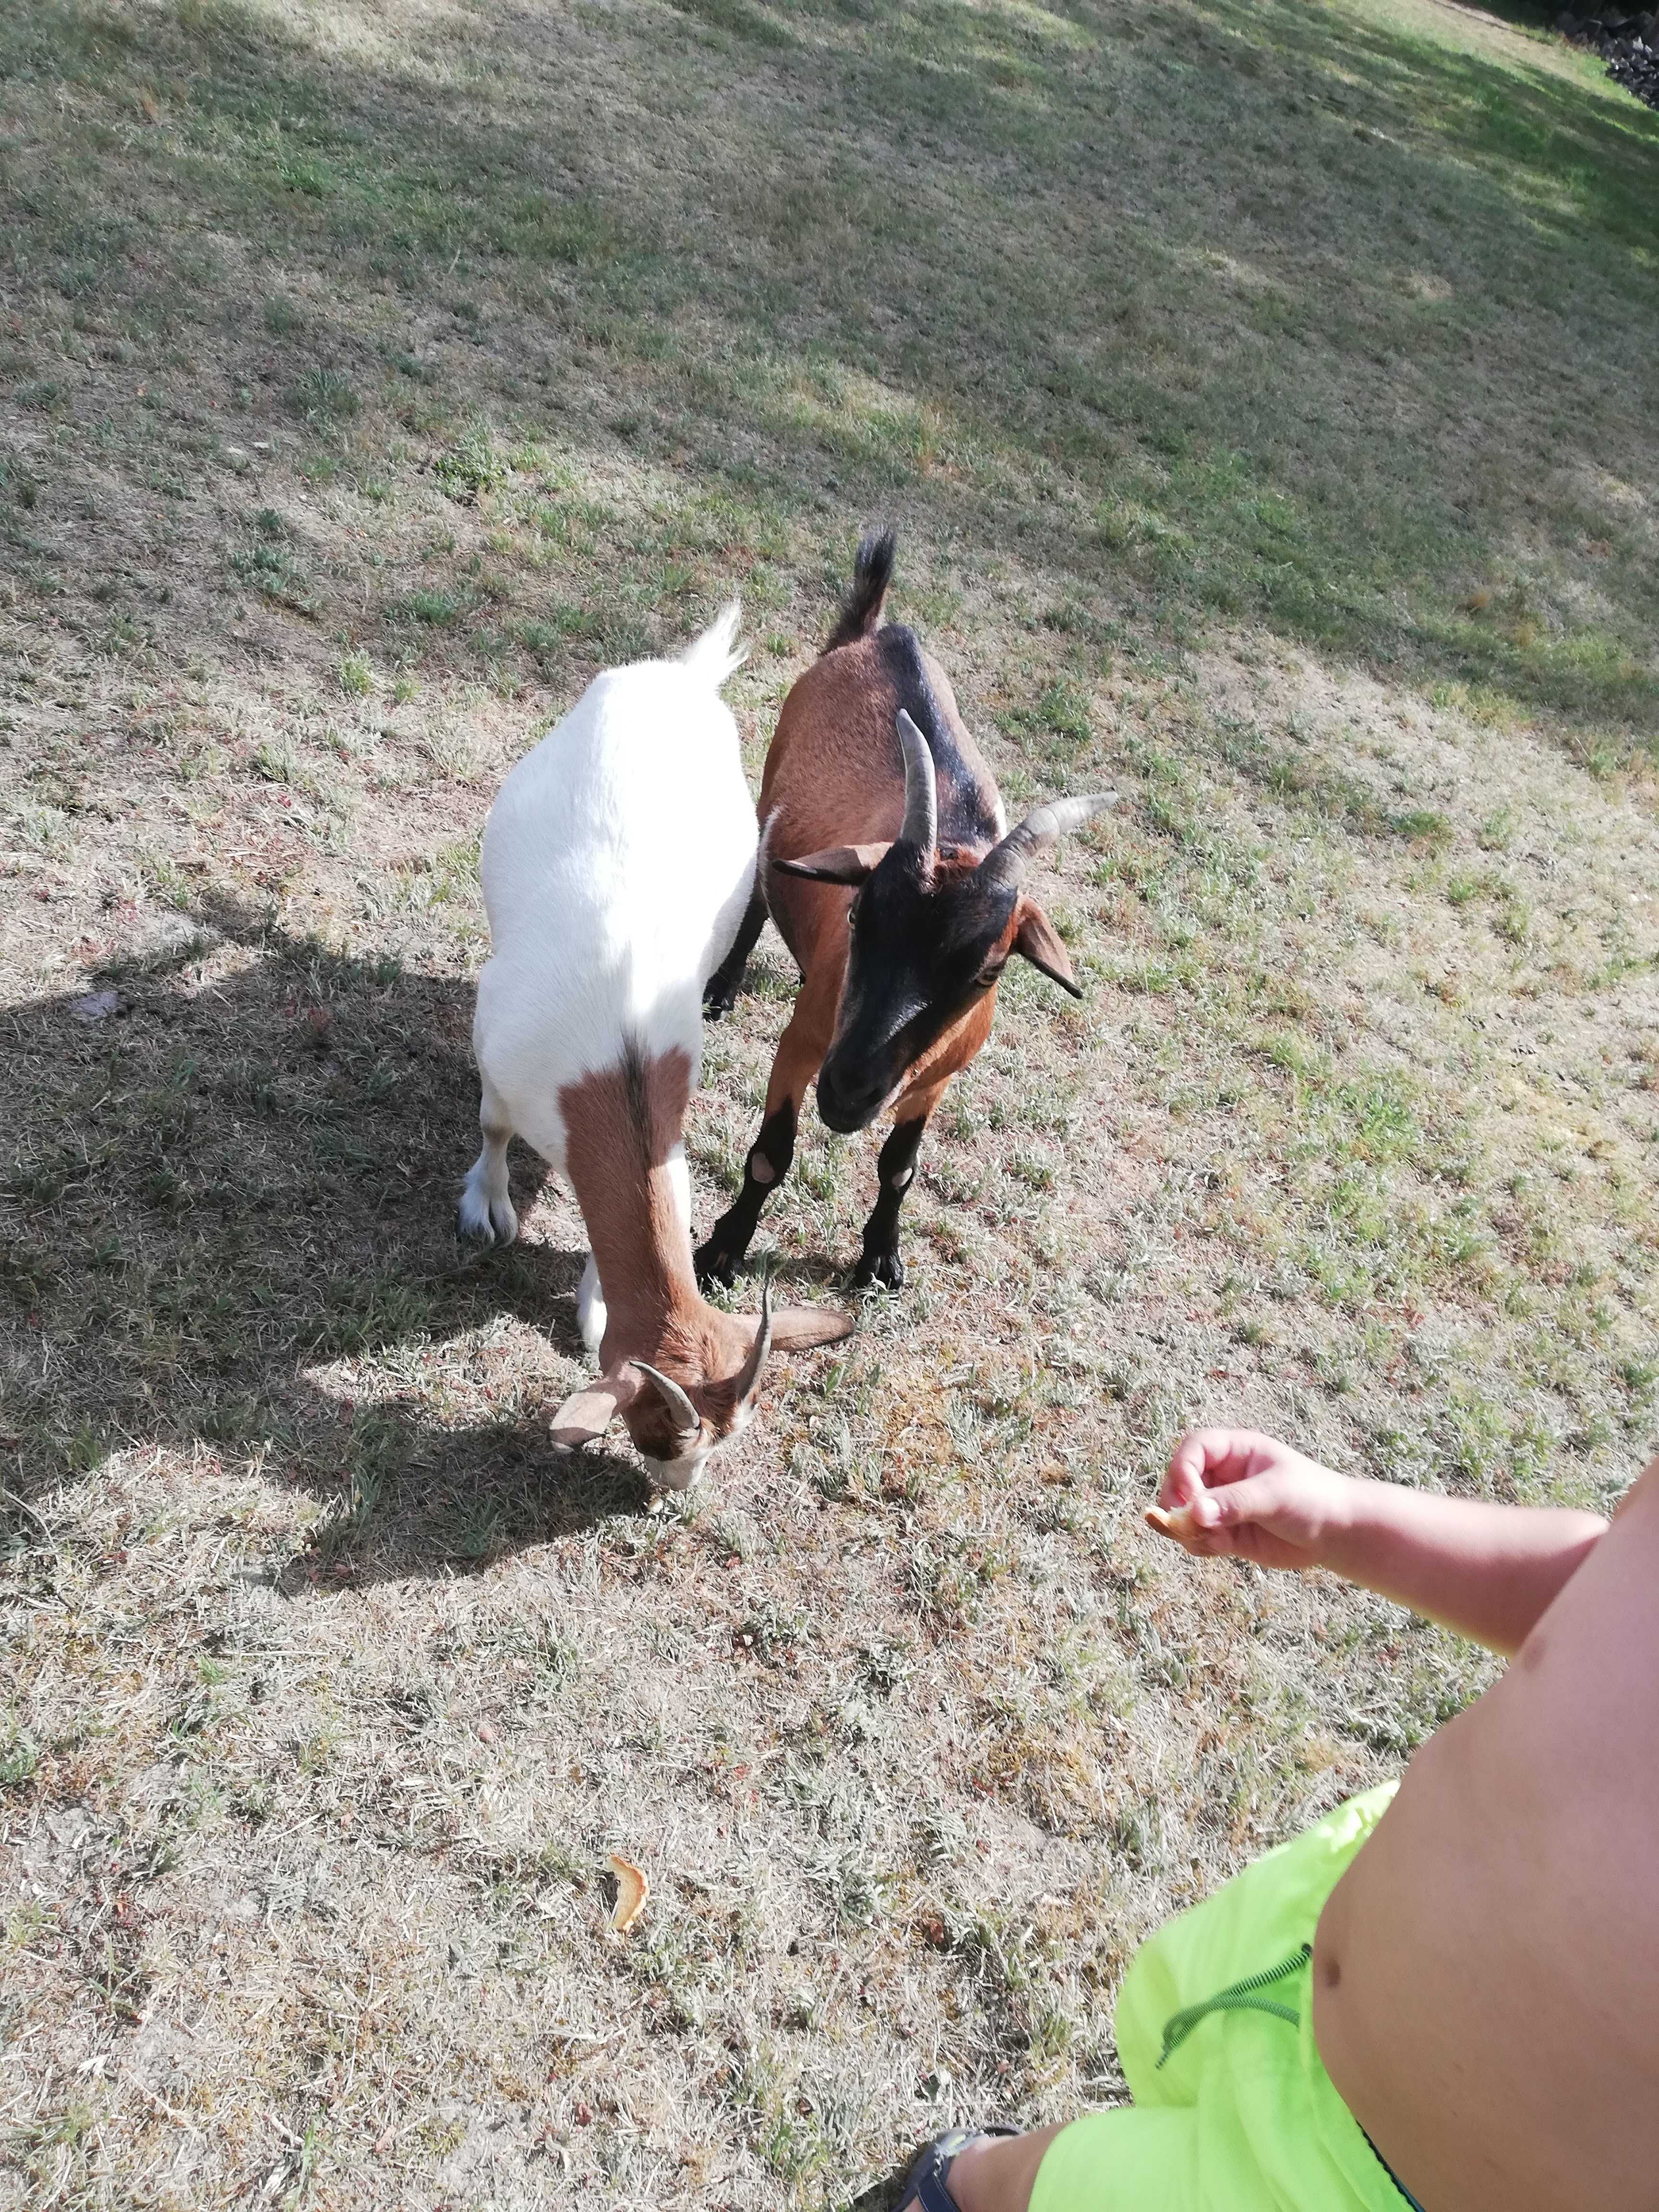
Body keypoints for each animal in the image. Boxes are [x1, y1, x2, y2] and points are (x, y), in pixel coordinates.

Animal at [460, 605, 852, 1486]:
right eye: (658, 1436)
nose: (671, 1495)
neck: (621, 1058)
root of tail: (684, 677)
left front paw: (595, 1302)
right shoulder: (495, 1040)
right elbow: (494, 1125)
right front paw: (488, 1207)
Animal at [696, 532, 1116, 1292]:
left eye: (987, 972)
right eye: (859, 917)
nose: (848, 1090)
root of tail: (879, 631)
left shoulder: (936, 1080)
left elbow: (900, 1168)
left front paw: (881, 1259)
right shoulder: (803, 1044)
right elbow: (772, 1153)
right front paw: (721, 1254)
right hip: (770, 795)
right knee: (760, 885)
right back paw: (724, 987)